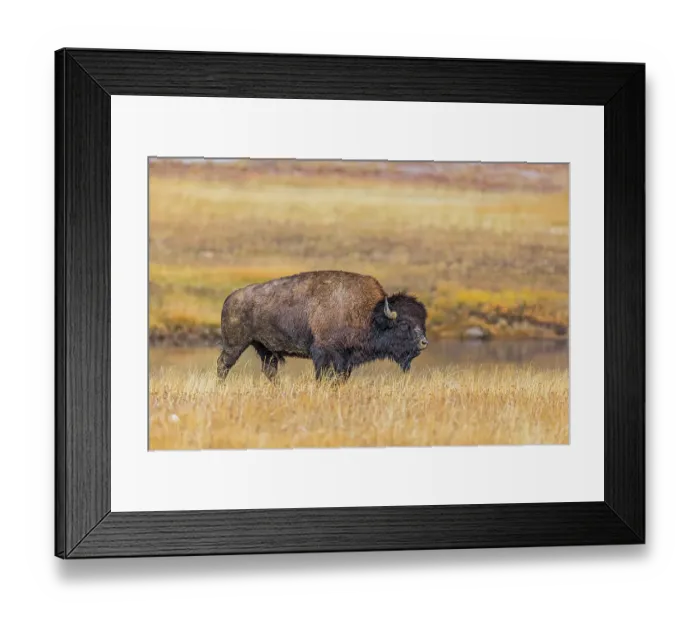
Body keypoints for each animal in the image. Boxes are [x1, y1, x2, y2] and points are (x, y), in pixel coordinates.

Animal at [217, 270, 428, 382]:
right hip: (235, 345)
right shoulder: (323, 353)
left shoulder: (345, 360)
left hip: (266, 349)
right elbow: (323, 376)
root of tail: (230, 298)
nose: (424, 342)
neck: (370, 315)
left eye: (422, 322)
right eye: (404, 324)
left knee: (270, 371)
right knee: (223, 365)